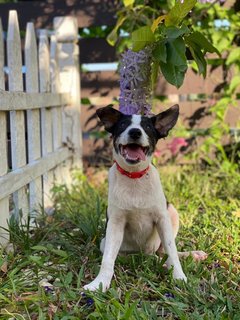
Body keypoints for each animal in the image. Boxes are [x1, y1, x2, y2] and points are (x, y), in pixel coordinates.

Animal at [84, 105, 206, 292]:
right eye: (123, 125)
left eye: (147, 127)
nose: (135, 132)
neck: (135, 177)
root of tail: (145, 253)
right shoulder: (115, 223)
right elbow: (108, 260)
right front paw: (100, 283)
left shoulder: (162, 219)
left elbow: (172, 251)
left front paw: (179, 277)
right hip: (106, 243)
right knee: (130, 256)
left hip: (172, 212)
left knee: (164, 252)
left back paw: (190, 256)